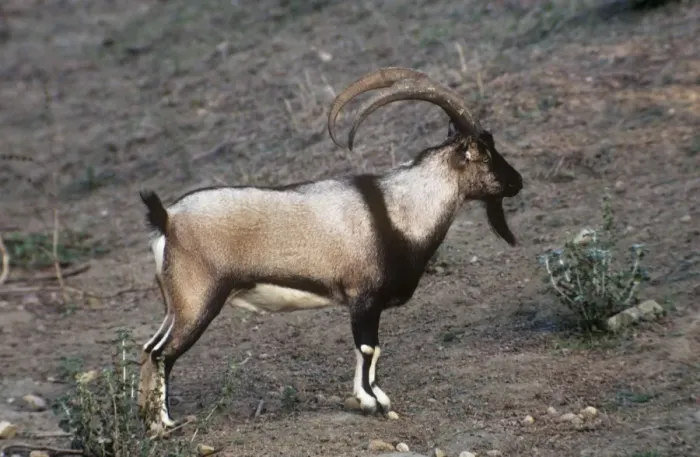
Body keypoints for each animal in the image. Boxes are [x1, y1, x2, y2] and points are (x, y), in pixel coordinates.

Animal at [137, 67, 523, 429]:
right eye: (485, 153)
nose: (517, 181)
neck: (400, 209)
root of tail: (167, 219)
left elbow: (372, 350)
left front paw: (378, 399)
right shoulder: (363, 297)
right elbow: (368, 348)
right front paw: (371, 403)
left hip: (176, 306)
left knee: (149, 348)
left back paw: (149, 419)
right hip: (198, 301)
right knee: (162, 354)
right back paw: (165, 425)